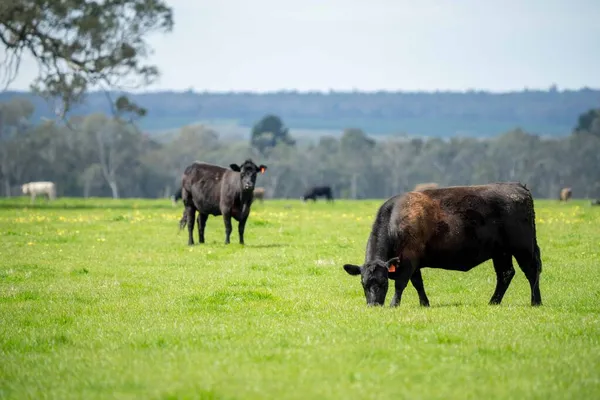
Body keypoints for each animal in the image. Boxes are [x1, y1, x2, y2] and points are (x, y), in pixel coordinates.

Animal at [342, 183, 544, 308]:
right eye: (363, 283)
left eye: (383, 282)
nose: (374, 305)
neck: (396, 221)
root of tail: (518, 187)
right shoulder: (413, 262)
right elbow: (418, 283)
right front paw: (424, 303)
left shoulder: (408, 260)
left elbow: (401, 283)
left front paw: (394, 304)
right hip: (501, 252)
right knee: (505, 274)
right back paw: (493, 302)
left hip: (523, 248)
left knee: (531, 271)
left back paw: (536, 302)